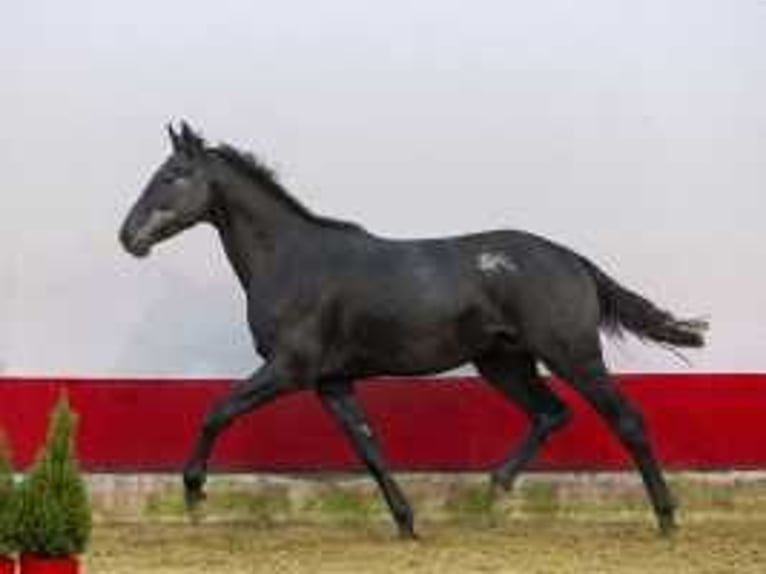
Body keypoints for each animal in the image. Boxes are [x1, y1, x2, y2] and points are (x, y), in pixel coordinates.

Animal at [118, 121, 708, 540]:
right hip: (503, 361)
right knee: (551, 413)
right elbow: (369, 447)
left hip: (573, 355)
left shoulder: (289, 368)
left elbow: (217, 410)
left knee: (626, 421)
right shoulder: (332, 381)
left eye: (171, 175)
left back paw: (666, 518)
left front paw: (194, 496)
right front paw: (407, 523)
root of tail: (573, 260)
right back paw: (493, 494)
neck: (292, 260)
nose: (129, 237)